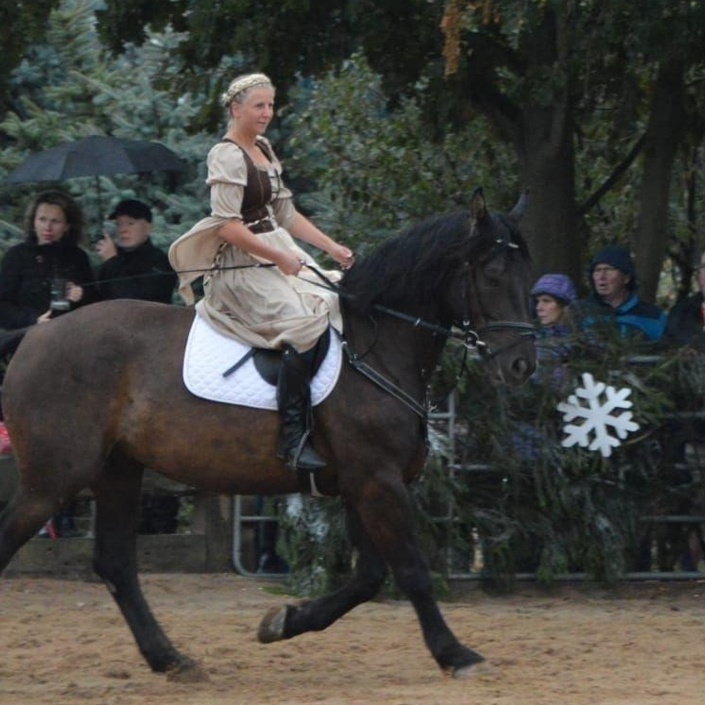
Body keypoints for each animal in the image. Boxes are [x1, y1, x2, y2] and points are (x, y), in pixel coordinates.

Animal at [0, 188, 536, 680]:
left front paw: (283, 621)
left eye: (527, 276)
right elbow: (410, 571)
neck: (377, 345)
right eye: (492, 274)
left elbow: (368, 577)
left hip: (117, 470)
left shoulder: (360, 484)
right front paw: (455, 654)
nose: (522, 366)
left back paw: (170, 659)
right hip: (55, 479)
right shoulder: (377, 481)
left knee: (115, 564)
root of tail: (36, 334)